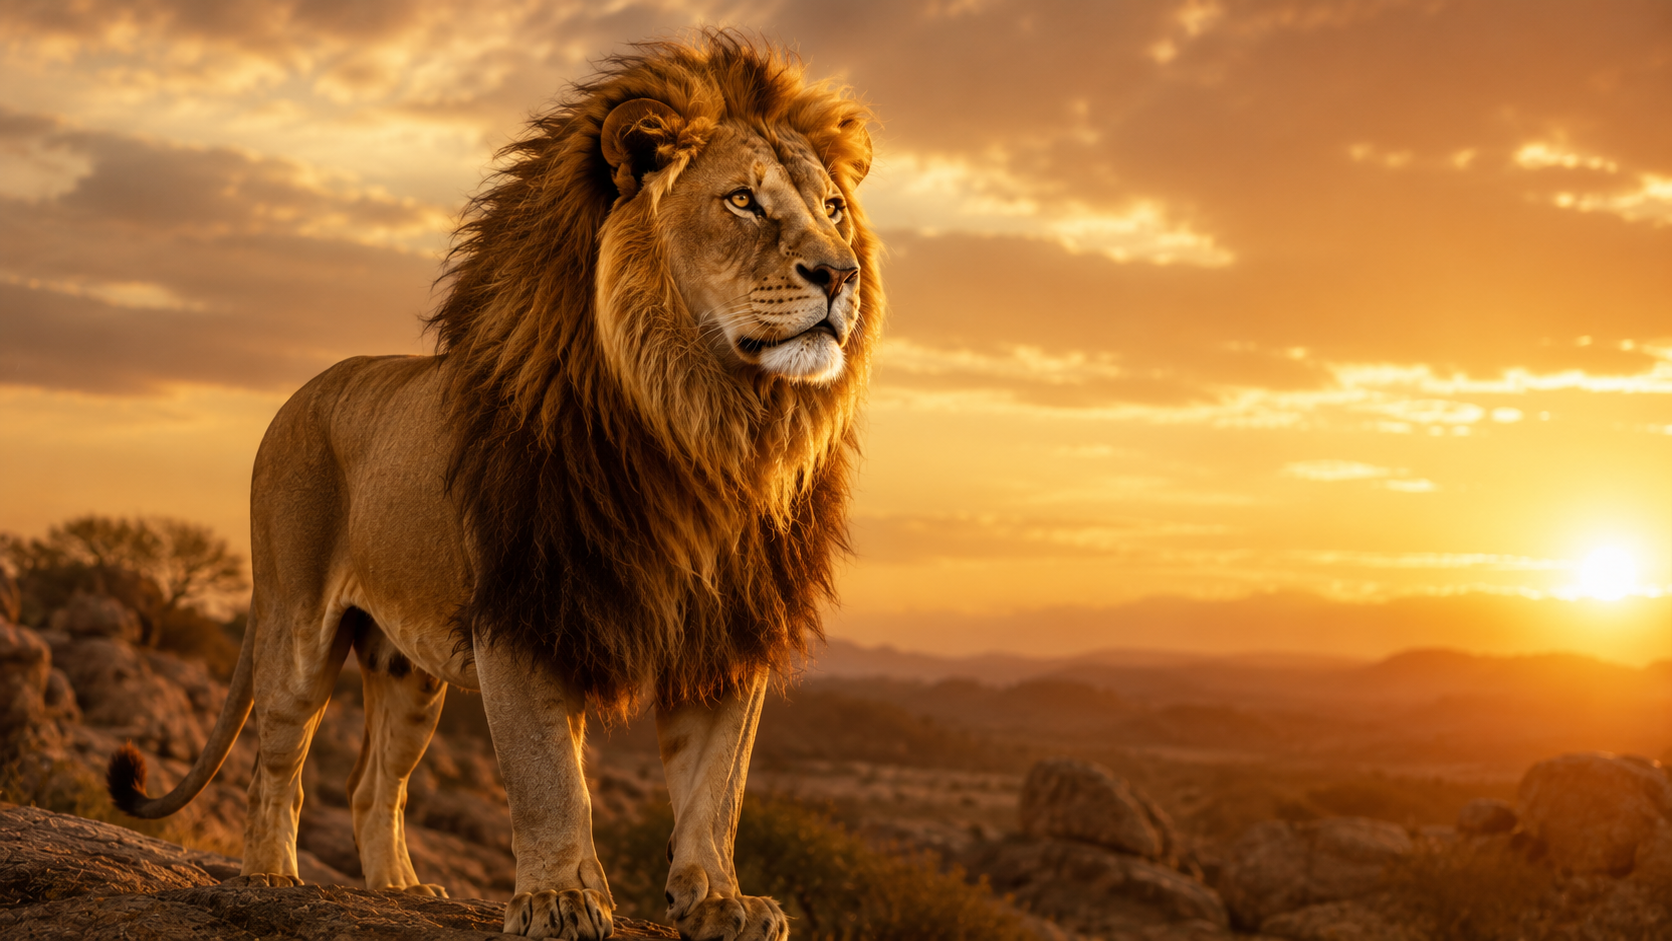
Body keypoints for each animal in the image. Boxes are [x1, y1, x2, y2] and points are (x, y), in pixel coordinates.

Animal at [105, 32, 881, 941]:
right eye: (742, 202)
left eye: (833, 208)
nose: (840, 275)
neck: (704, 424)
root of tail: (305, 391)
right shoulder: (526, 608)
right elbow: (551, 779)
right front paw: (559, 898)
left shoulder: (728, 630)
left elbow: (715, 786)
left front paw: (719, 899)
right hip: (296, 624)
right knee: (279, 762)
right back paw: (270, 877)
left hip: (409, 670)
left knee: (372, 783)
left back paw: (403, 891)